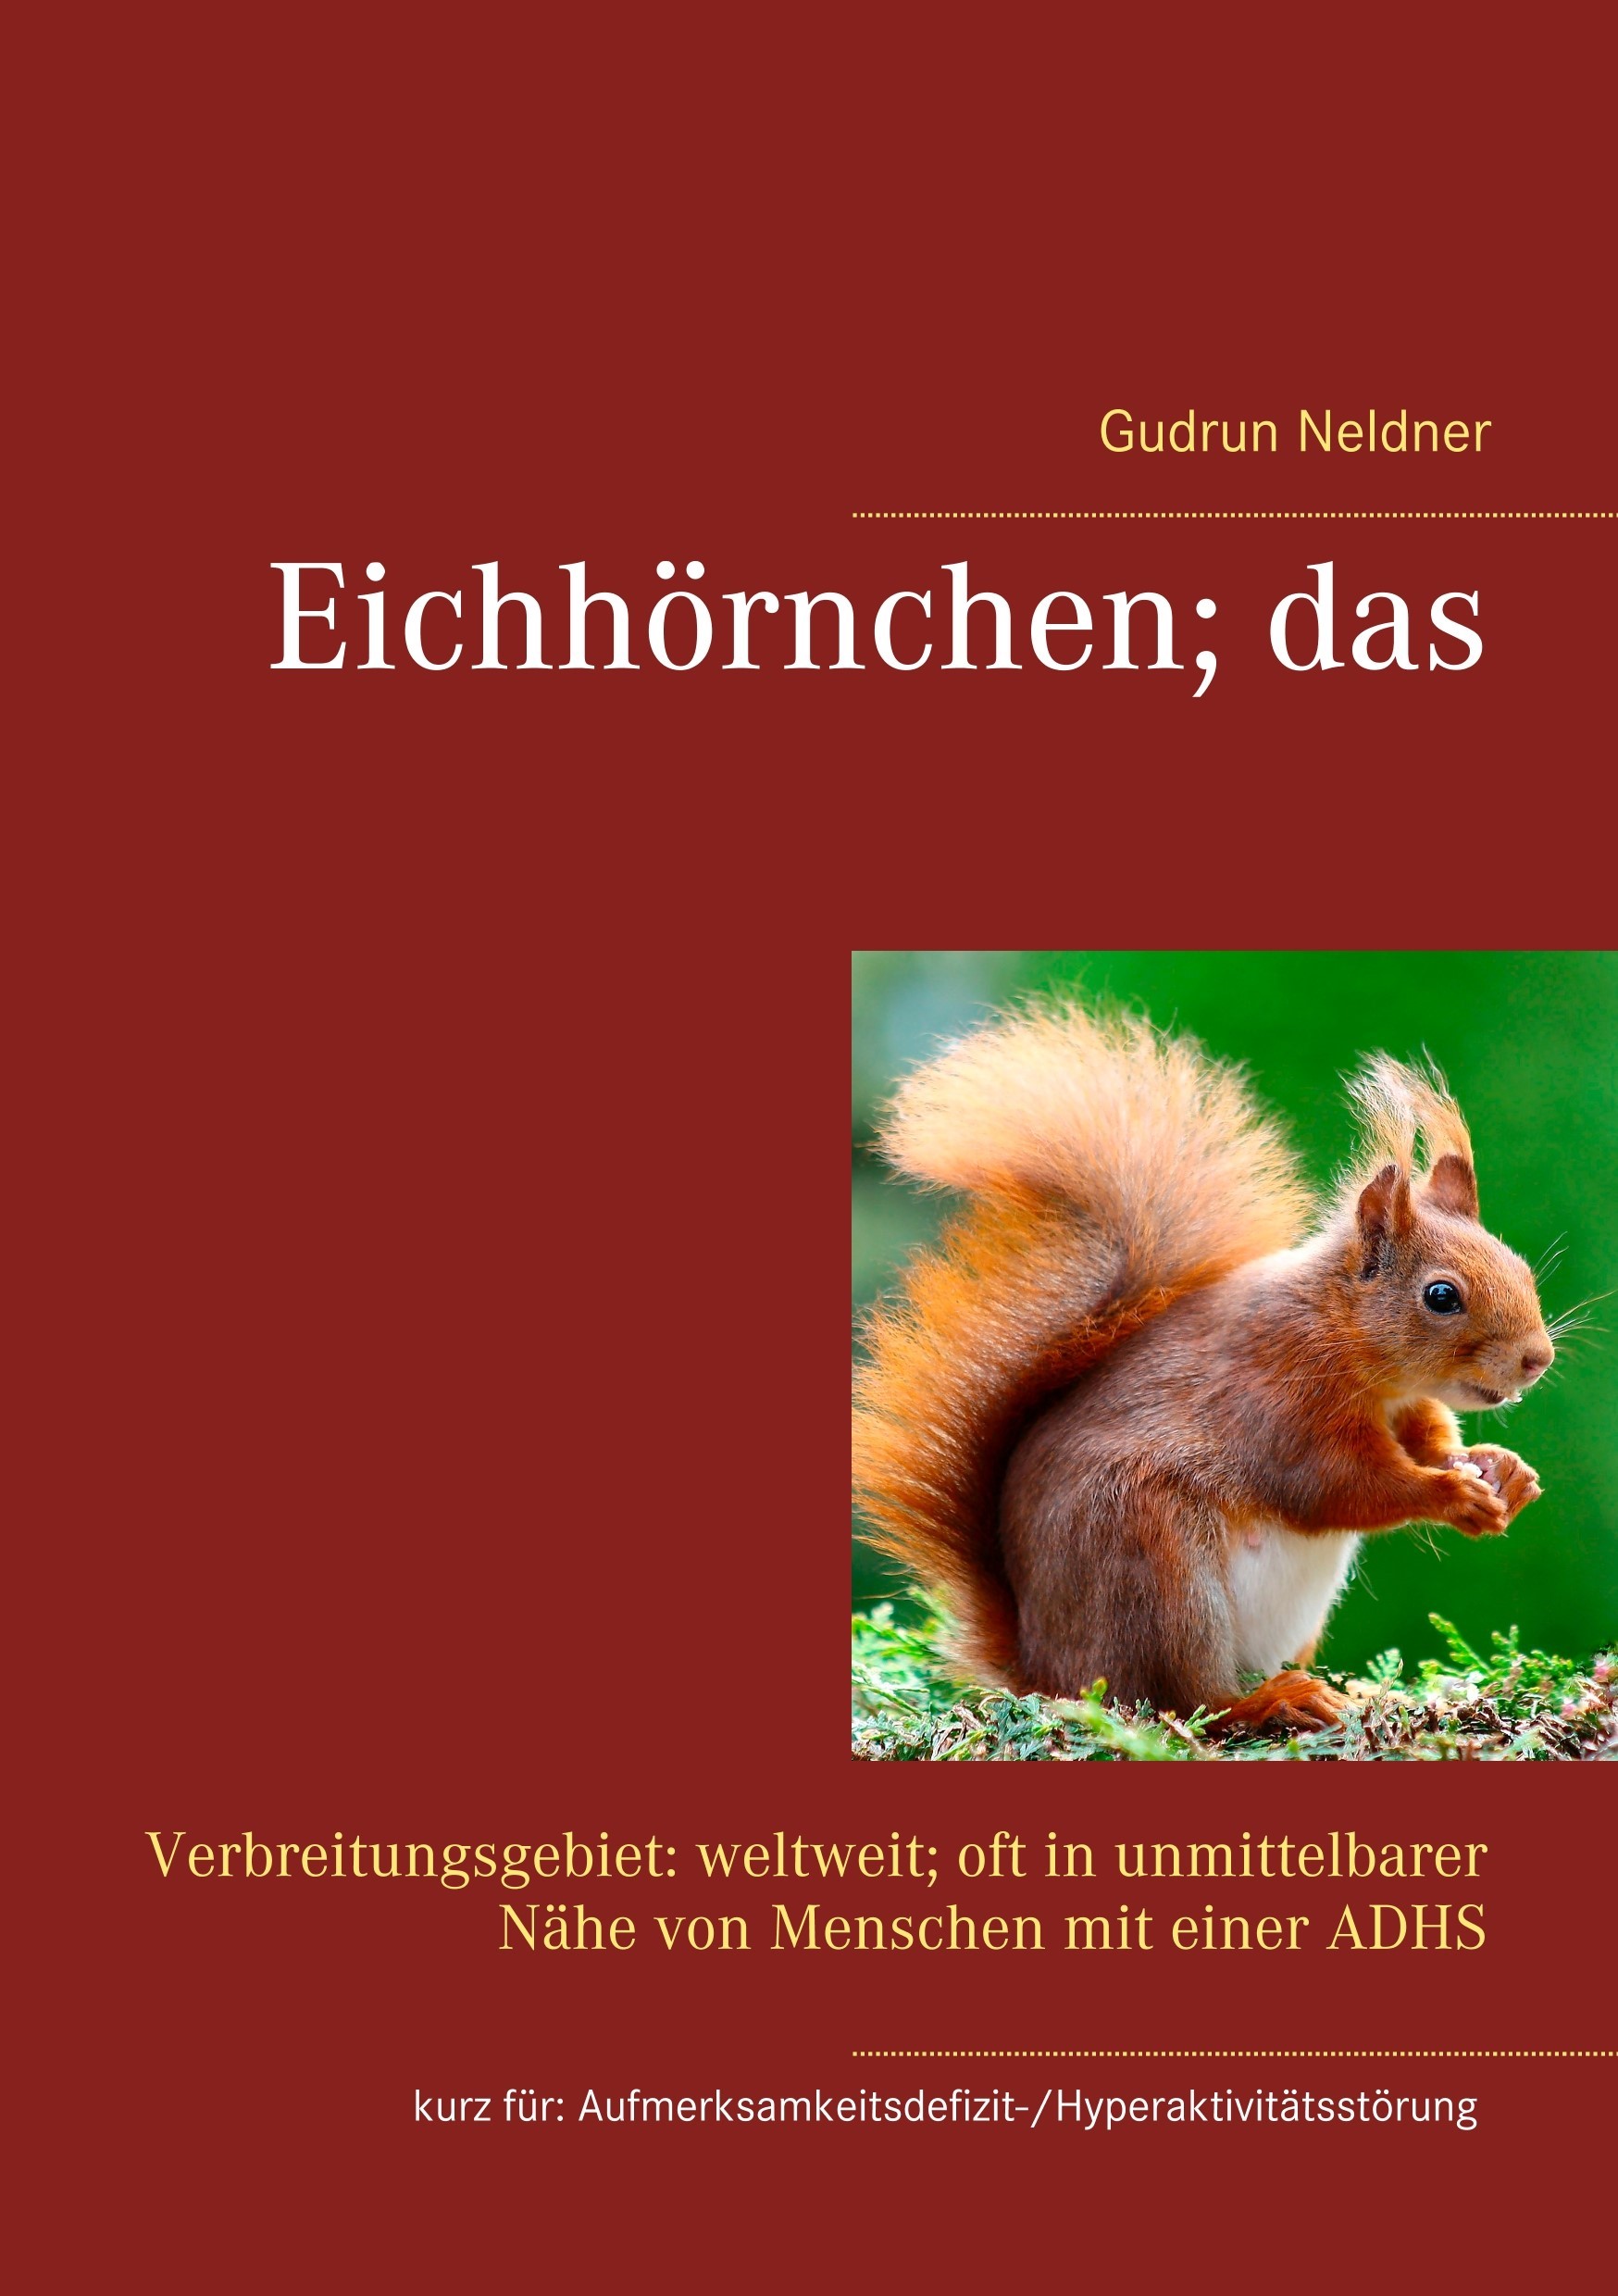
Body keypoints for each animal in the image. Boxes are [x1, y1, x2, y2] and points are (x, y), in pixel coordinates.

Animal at [852, 1001, 1557, 1732]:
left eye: (1518, 1266)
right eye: (1441, 1296)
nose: (1537, 1359)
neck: (1349, 1341)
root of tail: (1044, 1668)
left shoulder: (1407, 1405)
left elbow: (1430, 1441)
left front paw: (1502, 1470)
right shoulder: (1280, 1398)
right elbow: (1337, 1487)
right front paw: (1450, 1495)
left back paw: (1357, 1693)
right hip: (1156, 1571)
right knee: (1183, 1702)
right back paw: (1272, 1700)